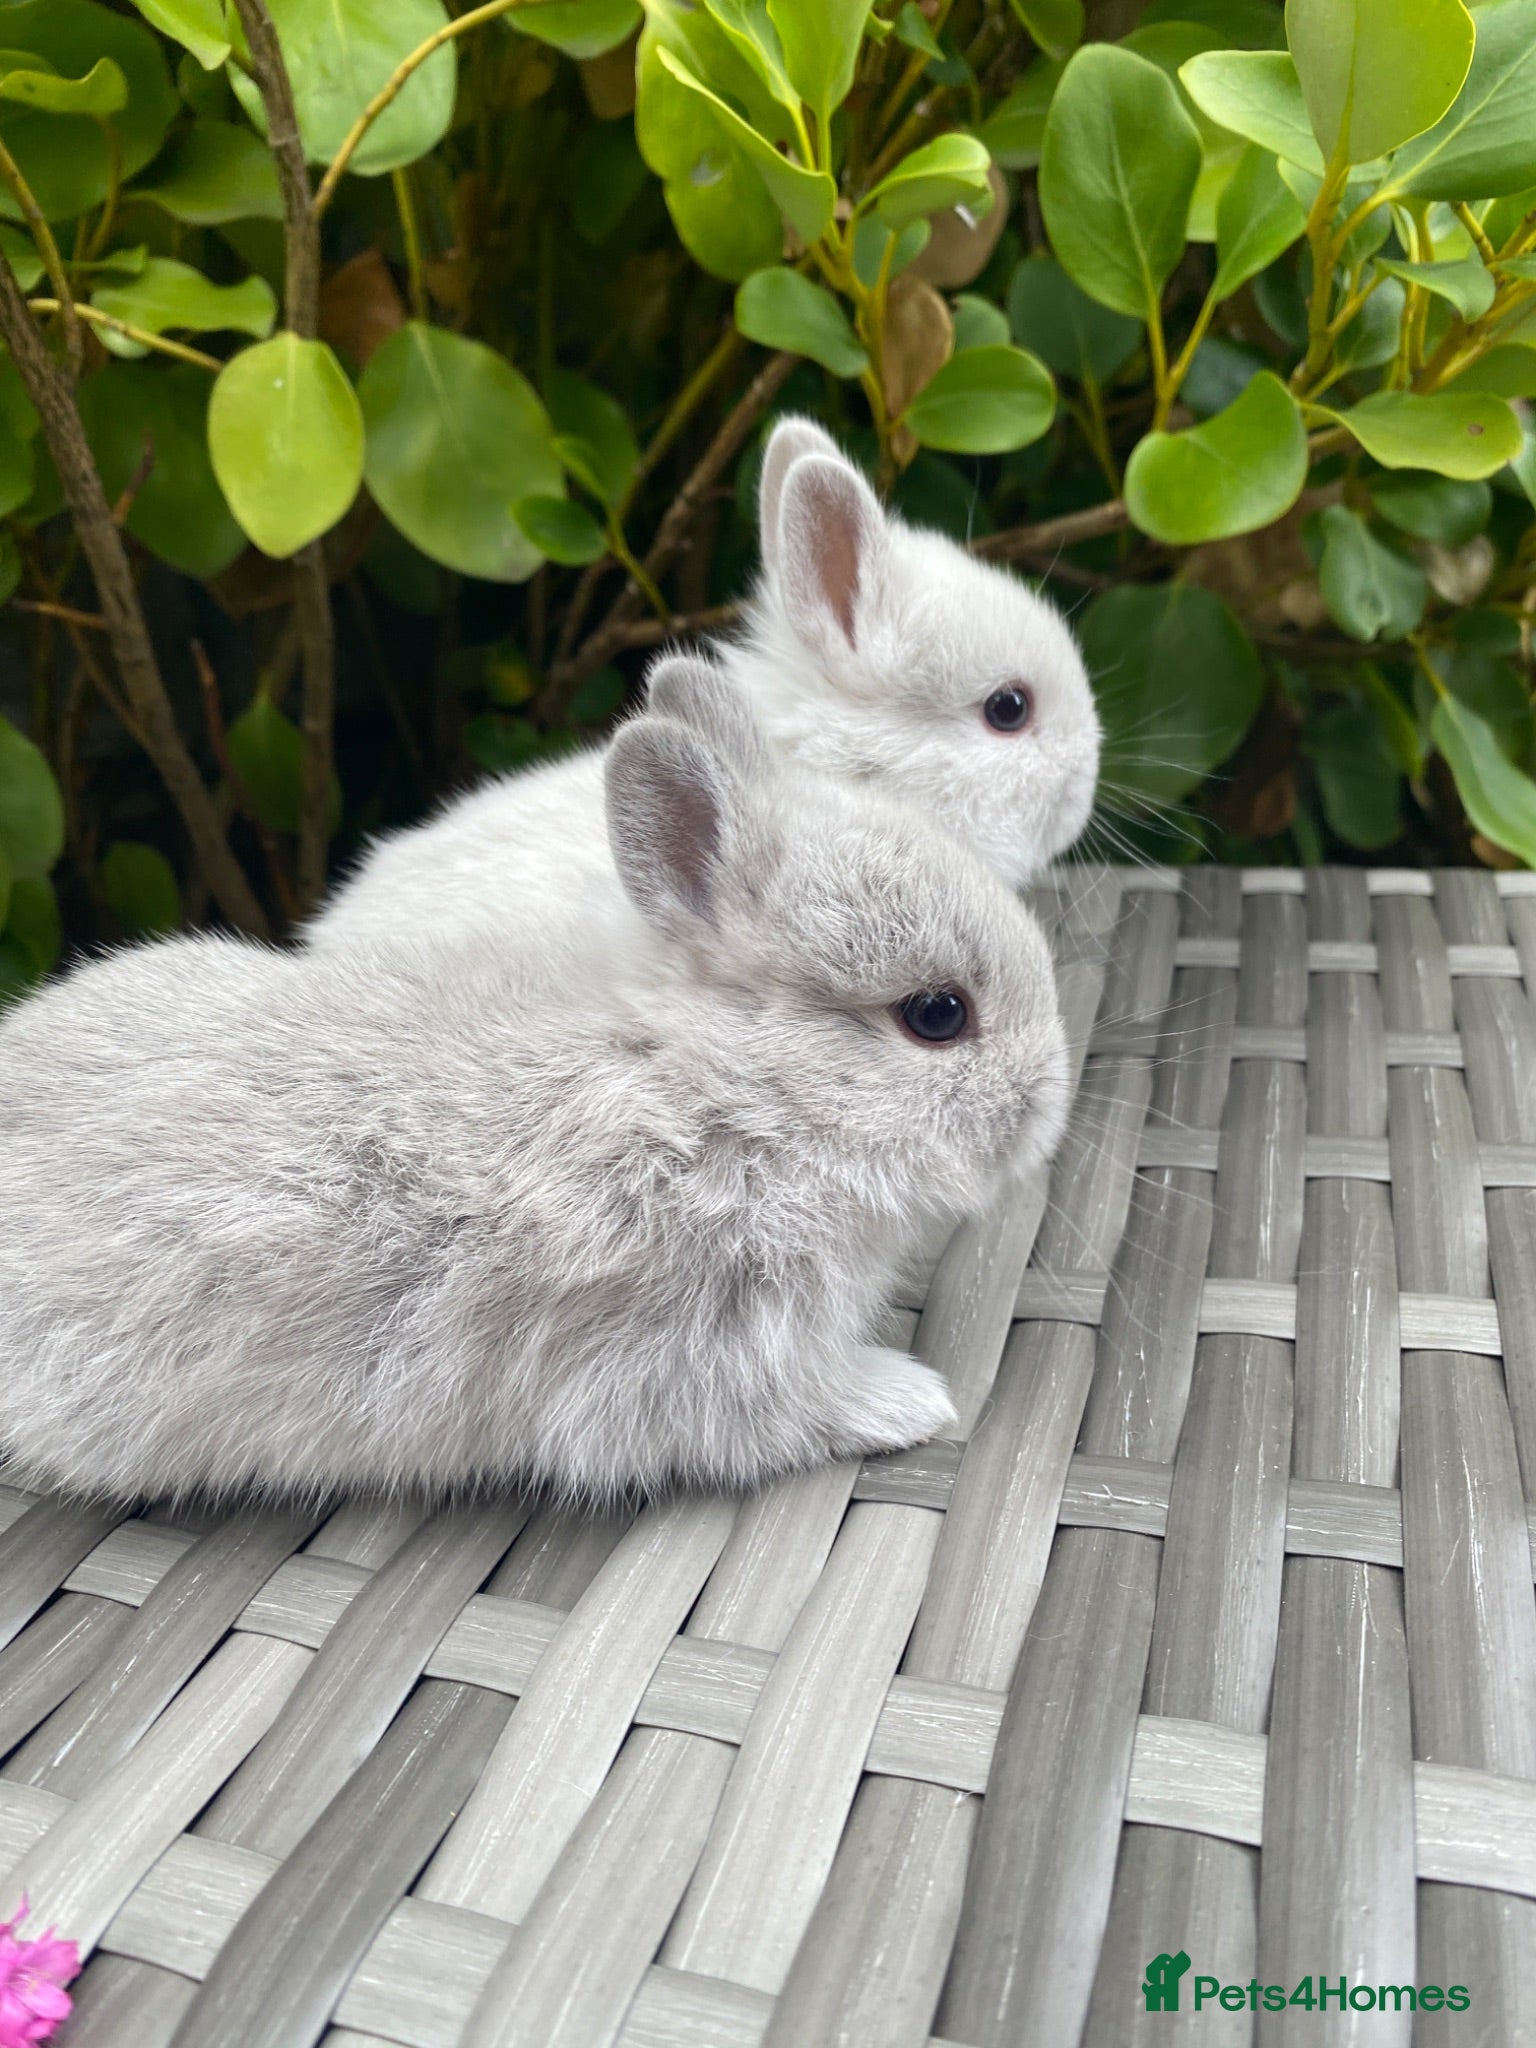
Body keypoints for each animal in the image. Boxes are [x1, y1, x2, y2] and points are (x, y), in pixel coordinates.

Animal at [0, 658, 1069, 1506]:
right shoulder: (706, 1354)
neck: (734, 1094)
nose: (1051, 1108)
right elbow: (797, 1408)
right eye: (937, 1014)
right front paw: (915, 1400)